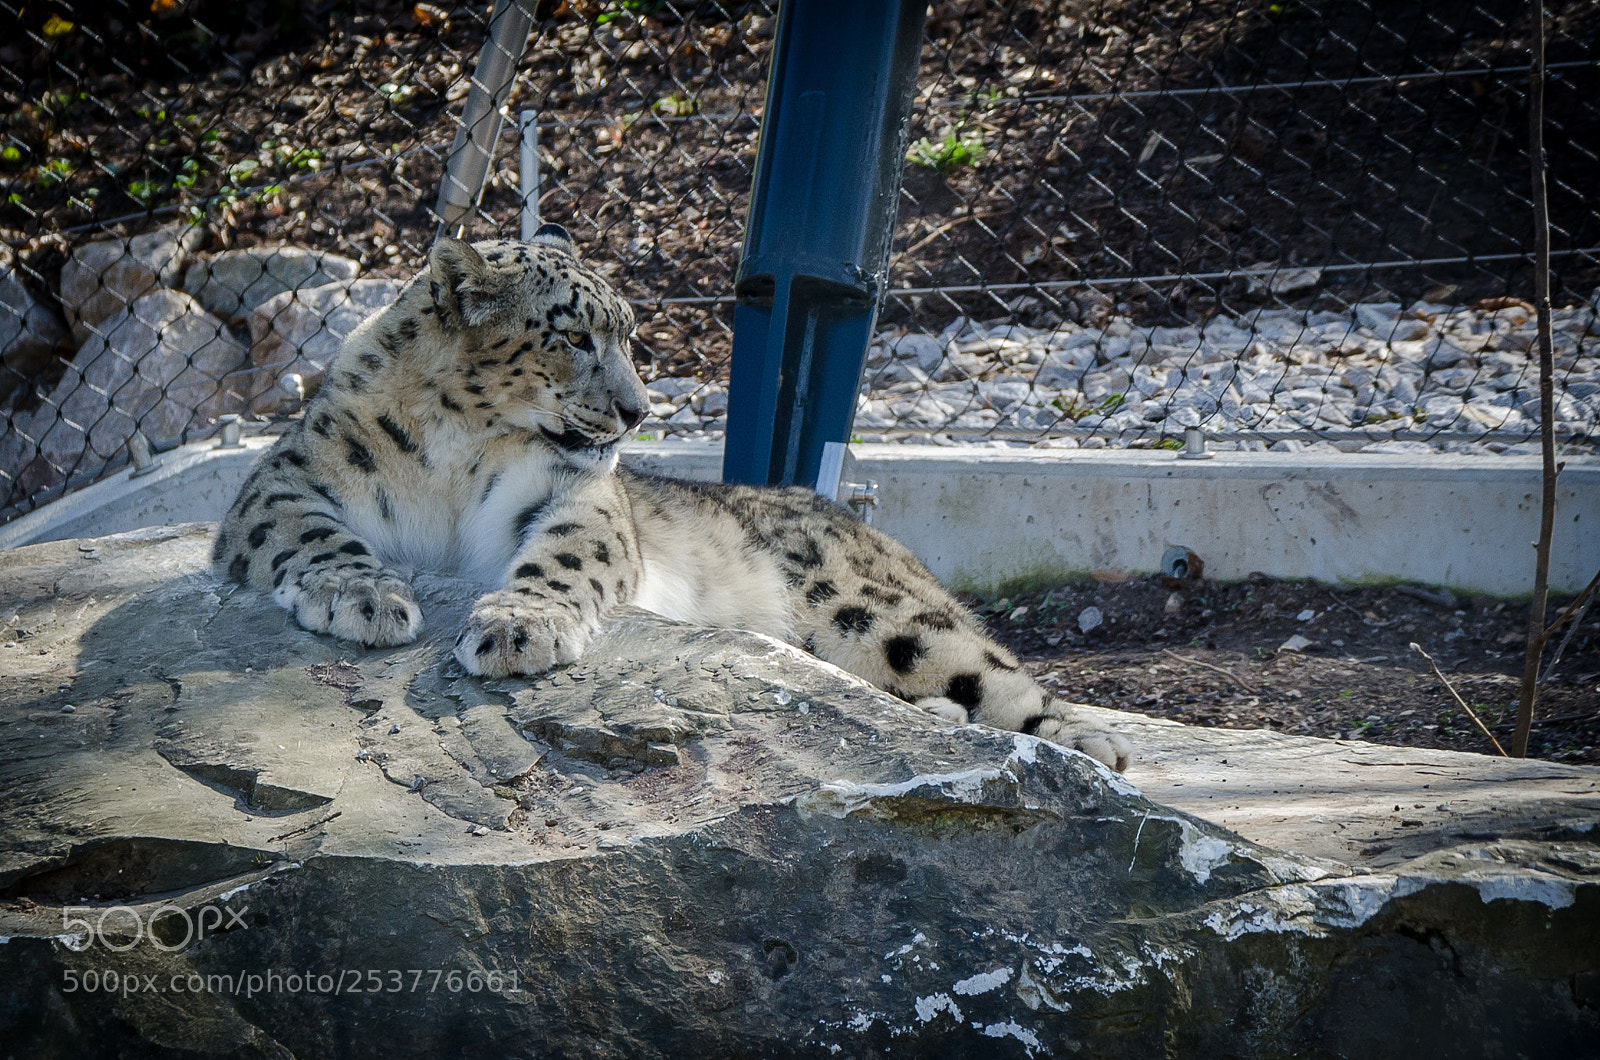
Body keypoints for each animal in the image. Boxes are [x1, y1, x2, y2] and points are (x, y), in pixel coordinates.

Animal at [213, 228, 1132, 772]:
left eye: (628, 334)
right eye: (572, 335)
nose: (637, 410)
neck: (455, 450)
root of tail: (856, 518)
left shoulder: (570, 497)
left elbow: (565, 555)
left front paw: (518, 628)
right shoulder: (285, 478)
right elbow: (312, 535)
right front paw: (363, 597)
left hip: (879, 614)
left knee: (1004, 681)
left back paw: (1088, 751)